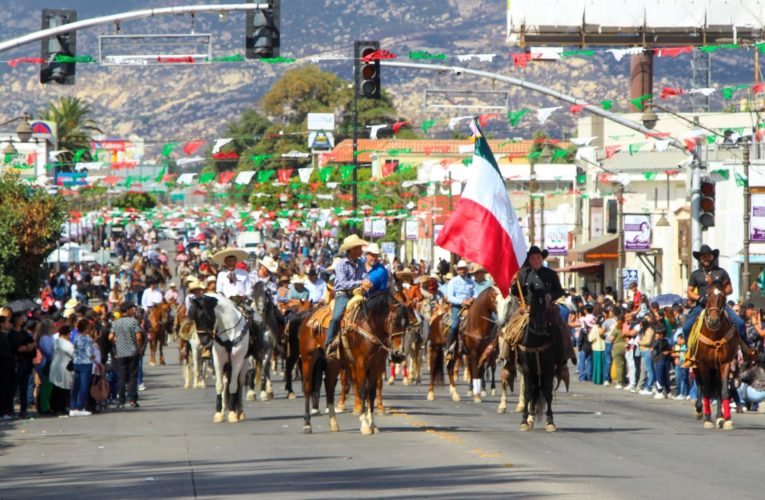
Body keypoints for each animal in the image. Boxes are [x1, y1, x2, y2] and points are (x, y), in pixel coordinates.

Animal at [187, 292, 249, 424]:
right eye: (193, 318)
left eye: (203, 316)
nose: (203, 341)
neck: (230, 333)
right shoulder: (218, 361)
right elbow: (220, 385)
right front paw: (218, 413)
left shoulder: (236, 362)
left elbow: (233, 386)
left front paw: (232, 413)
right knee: (226, 383)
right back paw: (225, 408)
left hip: (244, 363)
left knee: (240, 383)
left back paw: (240, 411)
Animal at [512, 290, 568, 434]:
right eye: (531, 302)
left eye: (547, 304)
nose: (541, 327)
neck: (536, 340)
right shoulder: (527, 368)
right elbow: (528, 392)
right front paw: (524, 421)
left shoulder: (549, 368)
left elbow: (547, 393)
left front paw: (550, 422)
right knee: (533, 390)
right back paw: (530, 418)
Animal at [692, 282, 740, 430]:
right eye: (707, 294)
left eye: (723, 295)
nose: (713, 321)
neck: (715, 335)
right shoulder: (702, 363)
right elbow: (706, 389)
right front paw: (708, 419)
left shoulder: (725, 363)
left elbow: (724, 390)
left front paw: (727, 419)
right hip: (697, 365)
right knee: (700, 384)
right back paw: (699, 410)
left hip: (716, 368)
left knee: (718, 388)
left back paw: (719, 417)